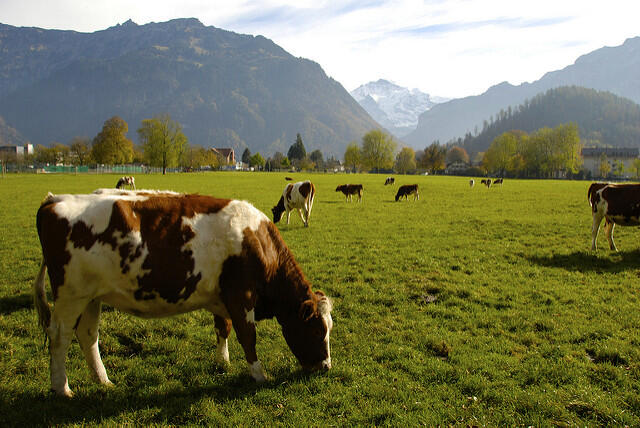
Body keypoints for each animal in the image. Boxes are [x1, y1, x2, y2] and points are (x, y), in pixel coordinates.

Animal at [33, 189, 336, 396]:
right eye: (317, 330)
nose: (325, 367)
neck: (259, 243)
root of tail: (54, 200)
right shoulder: (242, 295)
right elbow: (248, 337)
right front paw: (259, 375)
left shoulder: (221, 297)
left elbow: (222, 328)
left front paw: (223, 361)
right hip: (71, 295)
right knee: (59, 335)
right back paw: (62, 388)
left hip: (90, 296)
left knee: (88, 335)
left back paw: (103, 380)